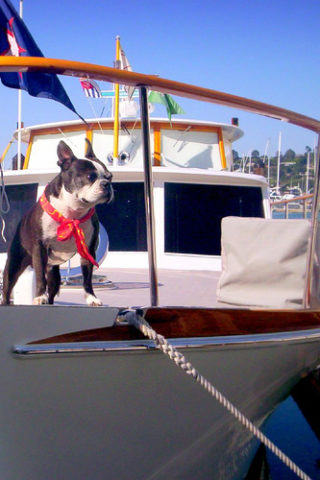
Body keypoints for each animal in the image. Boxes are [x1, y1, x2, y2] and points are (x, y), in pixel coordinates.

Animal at [1, 139, 113, 306]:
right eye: (90, 176)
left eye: (110, 176)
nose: (107, 184)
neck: (72, 212)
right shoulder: (39, 248)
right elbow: (40, 278)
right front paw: (40, 296)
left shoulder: (88, 250)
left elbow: (87, 279)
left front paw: (91, 297)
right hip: (14, 264)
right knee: (7, 289)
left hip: (54, 273)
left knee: (52, 292)